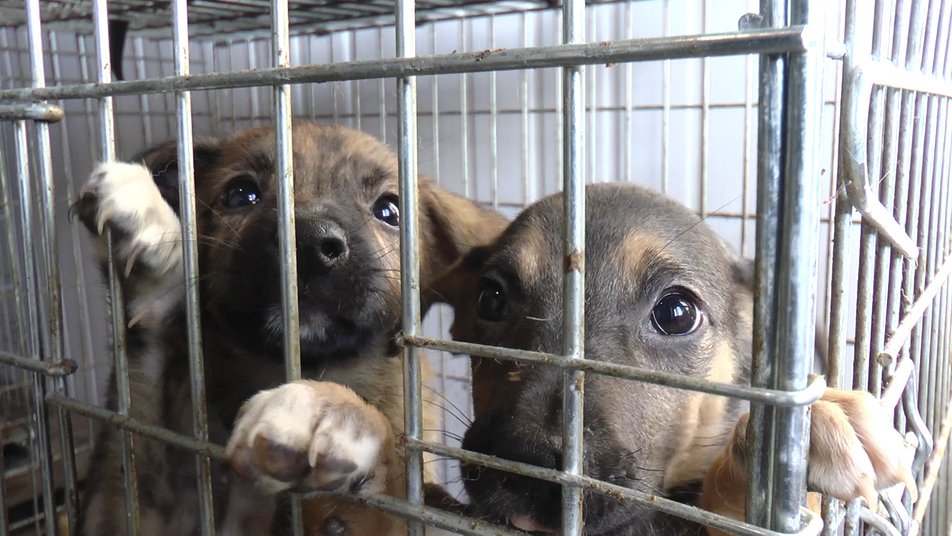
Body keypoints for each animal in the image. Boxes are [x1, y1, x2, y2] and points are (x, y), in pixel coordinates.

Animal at [74, 121, 506, 535]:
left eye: (389, 211)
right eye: (241, 194)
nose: (309, 245)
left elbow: (393, 485)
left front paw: (334, 414)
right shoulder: (142, 509)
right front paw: (155, 232)